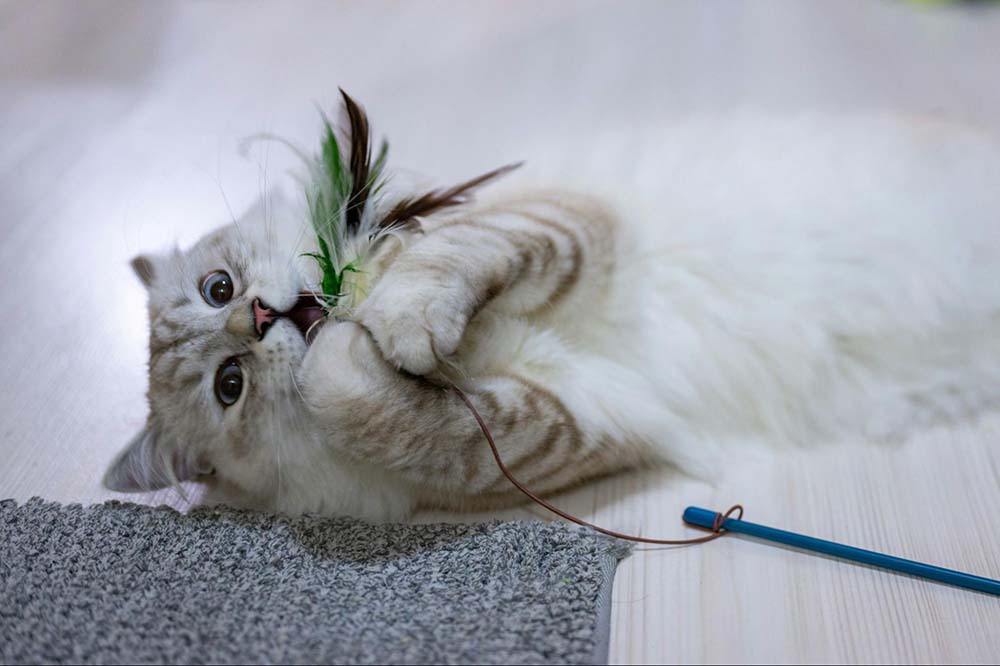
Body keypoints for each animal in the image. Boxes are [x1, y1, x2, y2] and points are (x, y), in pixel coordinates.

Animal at [103, 100, 1000, 524]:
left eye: (218, 290)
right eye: (230, 386)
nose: (260, 320)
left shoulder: (562, 224)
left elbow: (447, 266)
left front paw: (386, 319)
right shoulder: (581, 419)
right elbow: (389, 407)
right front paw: (358, 353)